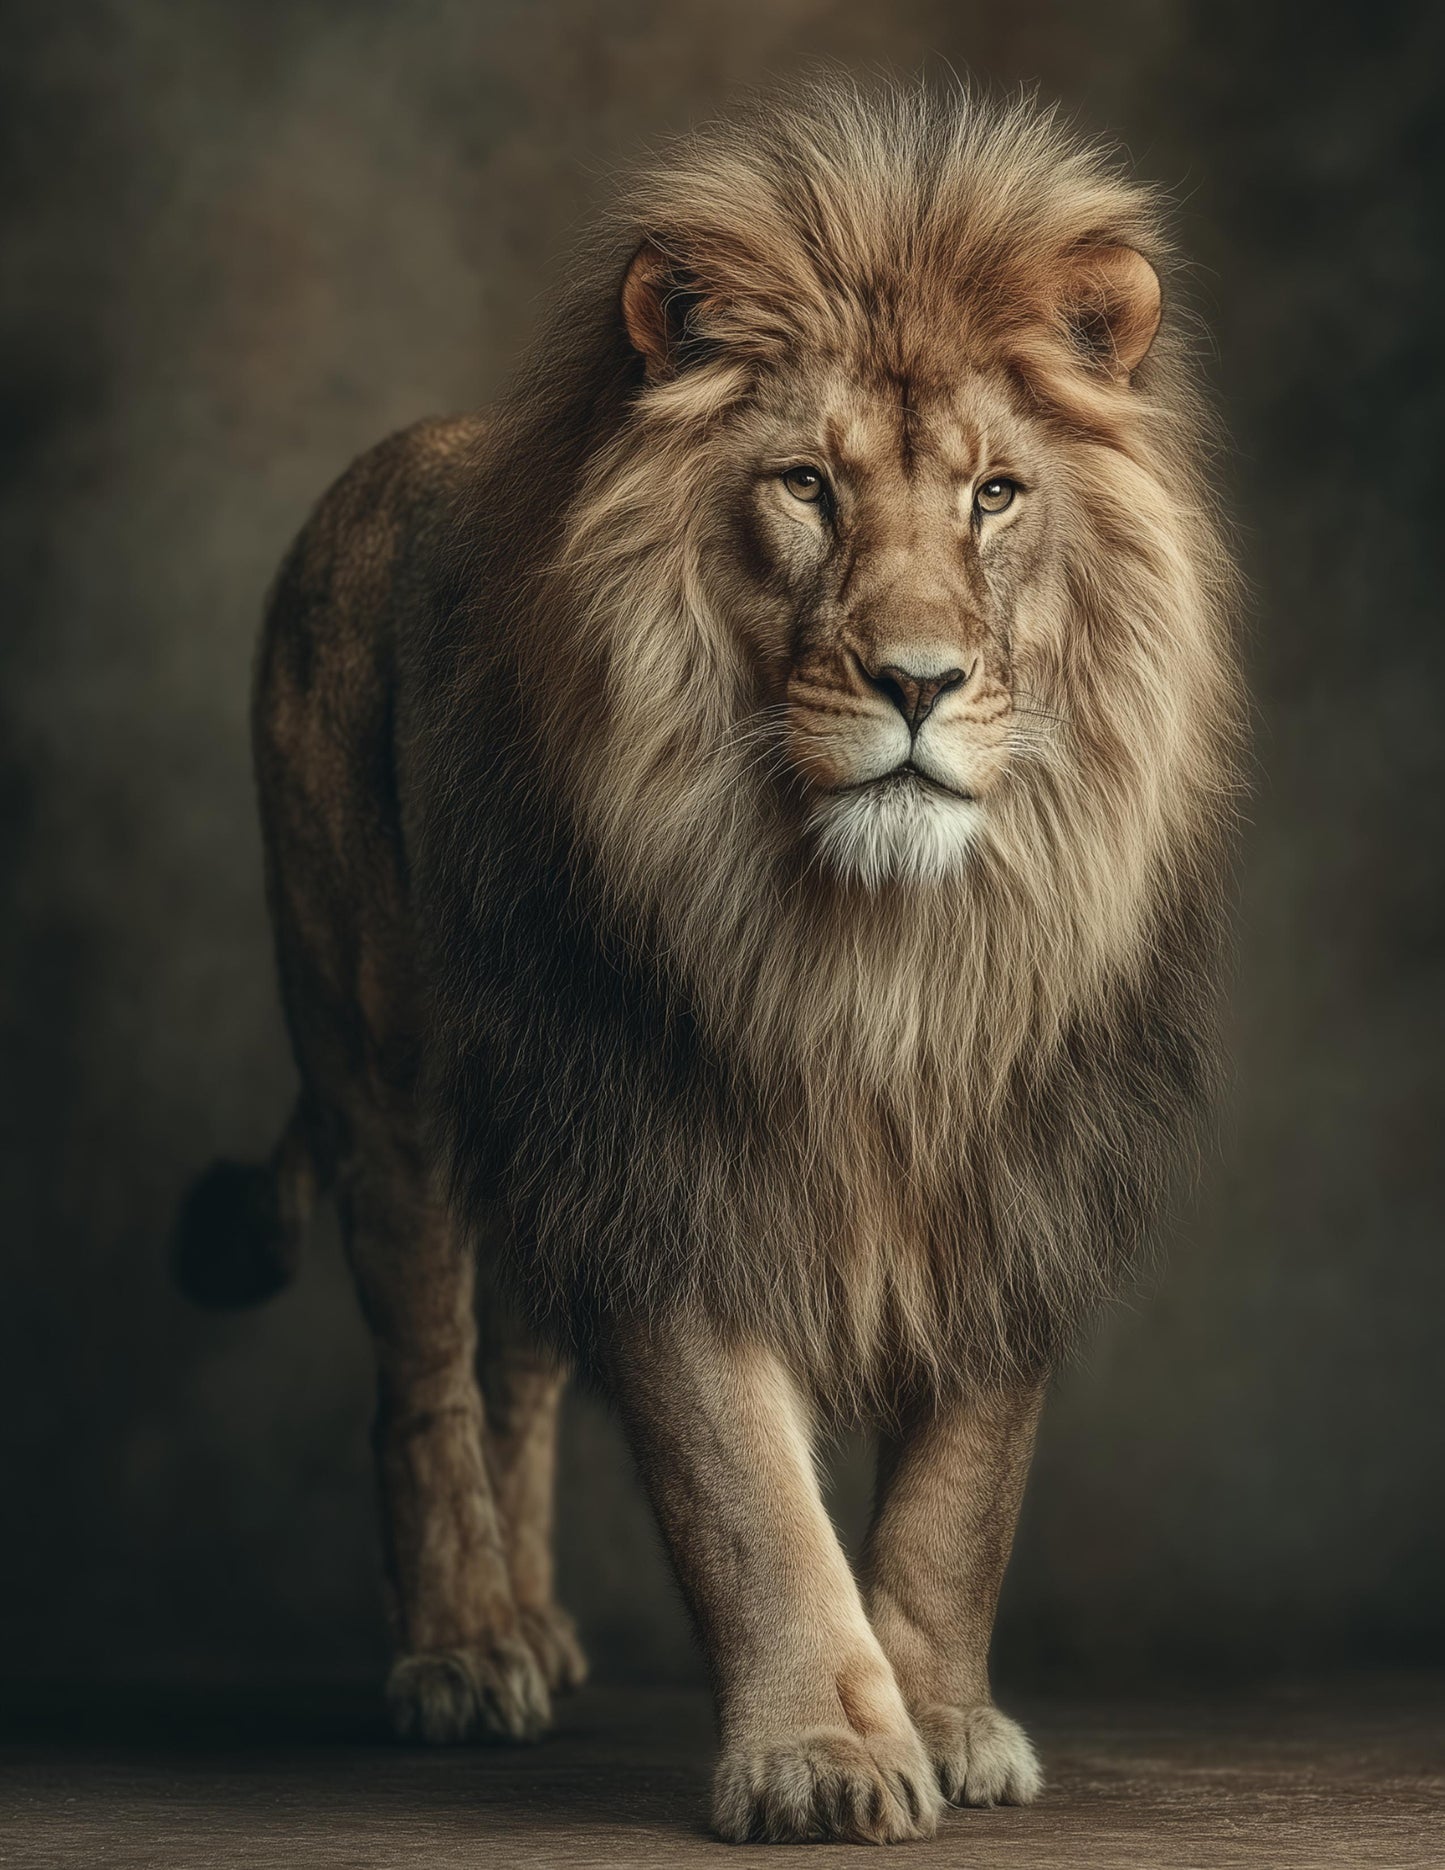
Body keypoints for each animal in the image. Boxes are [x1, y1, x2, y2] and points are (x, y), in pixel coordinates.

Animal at [176, 80, 1242, 1845]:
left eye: (995, 495)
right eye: (806, 485)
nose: (918, 680)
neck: (885, 942)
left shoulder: (1011, 1162)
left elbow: (960, 1499)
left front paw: (945, 1718)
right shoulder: (665, 1151)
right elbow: (746, 1494)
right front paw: (821, 1753)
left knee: (521, 1369)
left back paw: (537, 1627)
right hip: (383, 1061)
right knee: (428, 1374)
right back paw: (465, 1652)